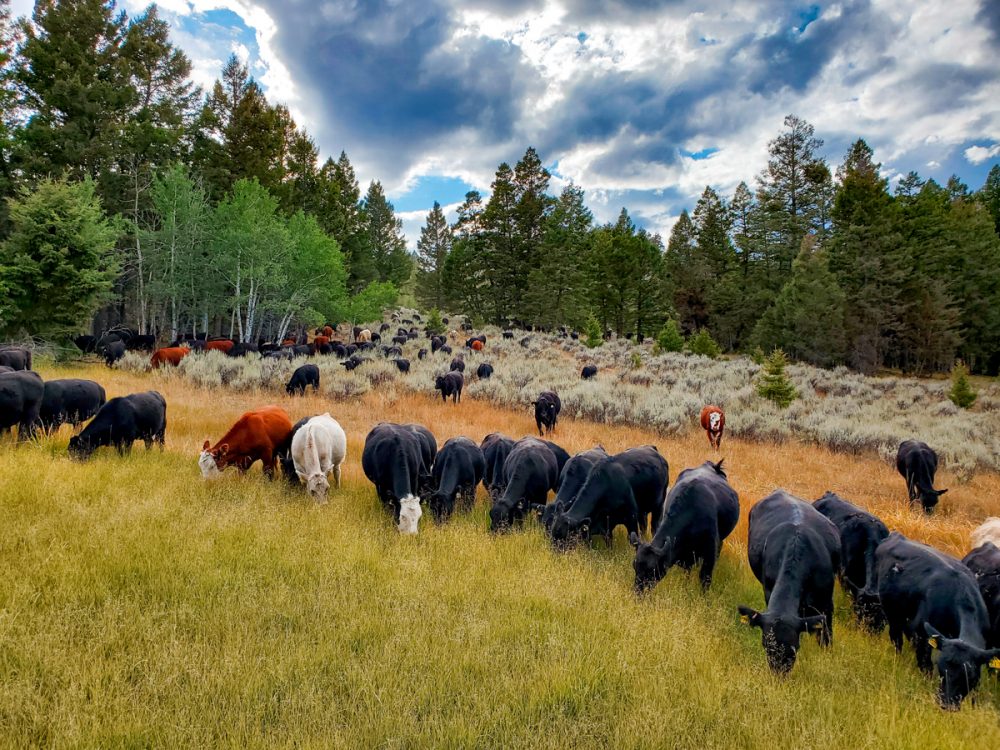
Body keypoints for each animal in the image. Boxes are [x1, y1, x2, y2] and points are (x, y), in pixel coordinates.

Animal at [628, 458, 740, 592]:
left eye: (653, 570)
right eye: (634, 565)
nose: (638, 591)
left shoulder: (710, 551)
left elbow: (705, 578)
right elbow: (687, 570)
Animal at [740, 494, 840, 676]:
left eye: (795, 647)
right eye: (766, 646)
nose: (779, 674)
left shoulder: (826, 603)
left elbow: (826, 636)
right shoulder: (768, 591)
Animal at [876, 536, 1000, 712]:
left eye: (968, 675)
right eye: (941, 669)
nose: (946, 704)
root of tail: (897, 536)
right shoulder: (922, 636)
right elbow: (925, 666)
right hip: (892, 616)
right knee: (896, 640)